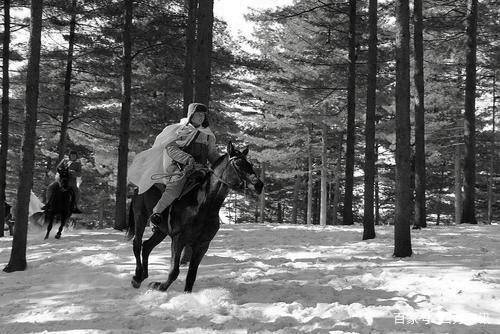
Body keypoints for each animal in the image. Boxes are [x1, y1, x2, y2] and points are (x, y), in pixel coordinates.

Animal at [127, 143, 264, 292]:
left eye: (249, 164)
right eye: (238, 163)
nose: (259, 185)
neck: (203, 205)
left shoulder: (202, 245)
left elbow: (191, 275)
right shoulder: (178, 239)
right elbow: (174, 271)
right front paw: (160, 286)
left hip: (161, 231)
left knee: (147, 246)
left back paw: (142, 276)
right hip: (140, 216)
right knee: (137, 244)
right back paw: (137, 277)